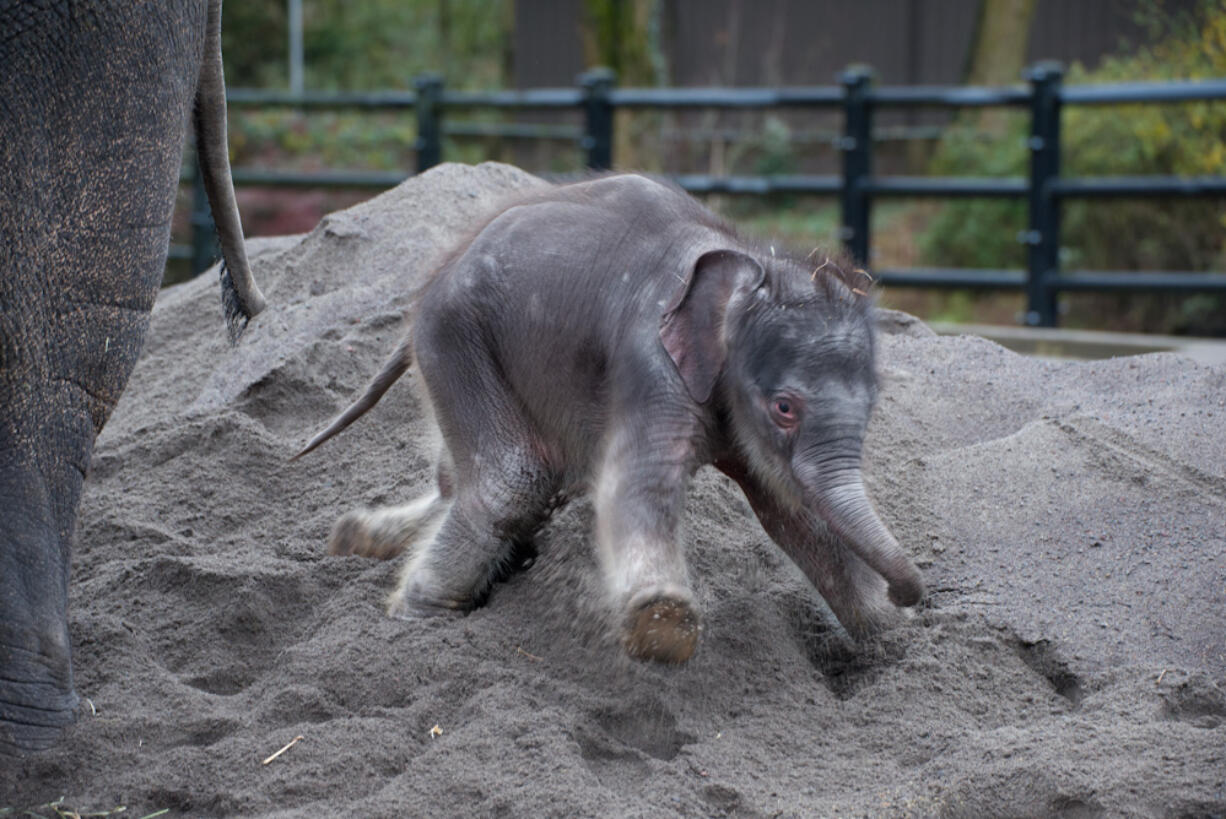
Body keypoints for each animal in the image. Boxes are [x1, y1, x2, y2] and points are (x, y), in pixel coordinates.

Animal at [301, 174, 921, 666]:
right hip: (456, 339)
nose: (909, 595)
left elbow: (795, 512)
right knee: (512, 481)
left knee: (479, 478)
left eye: (875, 402)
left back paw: (359, 539)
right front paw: (663, 626)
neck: (745, 259)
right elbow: (634, 486)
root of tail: (439, 270)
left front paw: (892, 642)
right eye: (785, 408)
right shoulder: (648, 361)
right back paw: (415, 615)